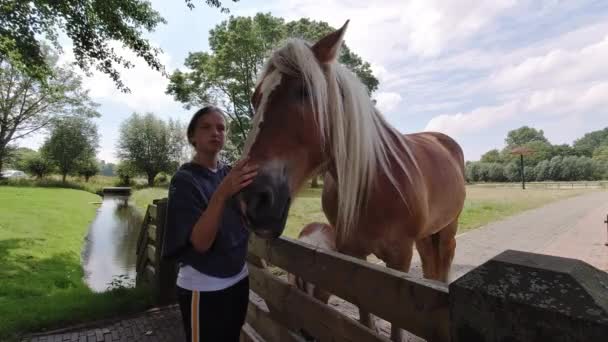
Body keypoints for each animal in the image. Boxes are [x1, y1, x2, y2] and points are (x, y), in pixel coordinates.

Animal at [238, 20, 466, 340]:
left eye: (304, 91)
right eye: (255, 98)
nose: (252, 199)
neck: (373, 184)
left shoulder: (399, 260)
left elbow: (397, 325)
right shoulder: (352, 257)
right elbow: (365, 318)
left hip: (447, 229)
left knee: (442, 266)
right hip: (425, 236)